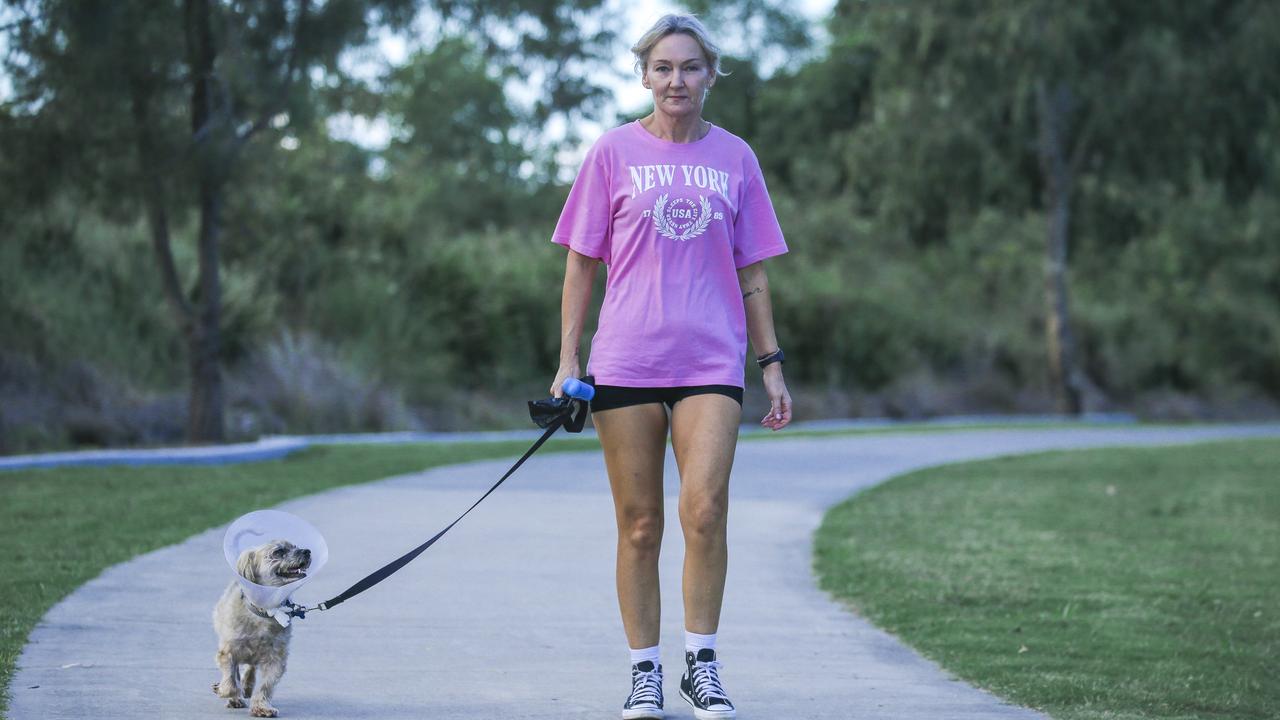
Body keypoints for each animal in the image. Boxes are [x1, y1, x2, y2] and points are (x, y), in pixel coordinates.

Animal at [212, 538, 309, 712]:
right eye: (278, 552)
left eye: (295, 546)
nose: (307, 551)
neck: (265, 611)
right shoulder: (229, 651)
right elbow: (231, 680)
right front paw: (225, 691)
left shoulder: (276, 659)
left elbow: (266, 686)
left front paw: (262, 707)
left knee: (251, 667)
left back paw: (247, 686)